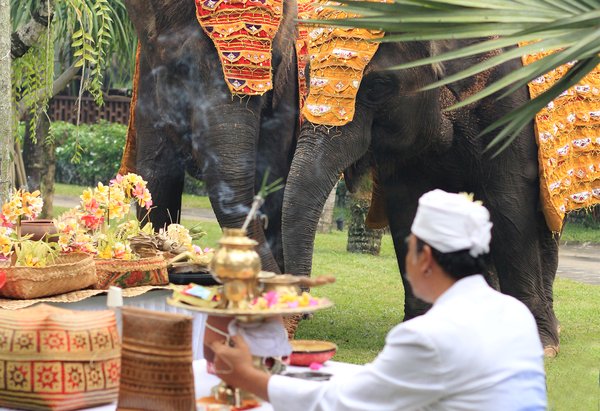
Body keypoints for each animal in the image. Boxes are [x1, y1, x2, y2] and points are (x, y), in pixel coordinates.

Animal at [284, 39, 560, 354]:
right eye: (306, 76)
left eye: (377, 86)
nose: (302, 314)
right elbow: (408, 209)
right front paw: (418, 328)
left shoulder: (509, 99)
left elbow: (509, 203)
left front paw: (541, 346)